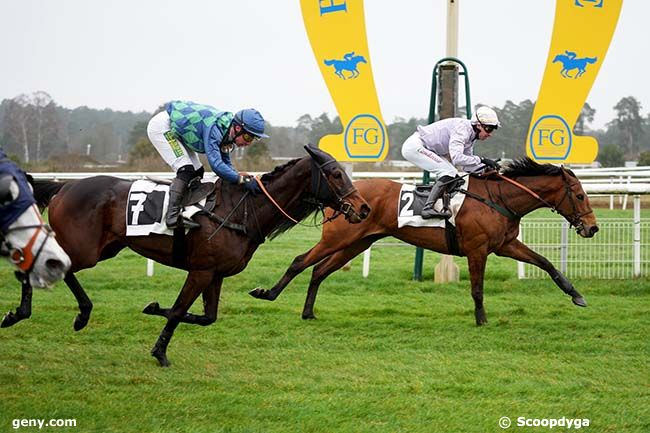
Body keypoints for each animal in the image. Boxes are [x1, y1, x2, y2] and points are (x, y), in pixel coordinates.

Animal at [29, 146, 370, 364]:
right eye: (336, 174)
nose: (364, 208)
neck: (243, 211)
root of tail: (64, 186)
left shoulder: (215, 274)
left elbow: (207, 317)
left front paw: (154, 307)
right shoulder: (201, 270)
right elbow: (180, 311)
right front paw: (160, 353)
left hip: (107, 248)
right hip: (86, 250)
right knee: (48, 266)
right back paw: (71, 314)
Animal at [248, 158, 596, 324]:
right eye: (580, 195)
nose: (592, 228)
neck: (498, 198)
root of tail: (344, 196)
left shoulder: (505, 245)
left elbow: (546, 263)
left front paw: (577, 295)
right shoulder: (478, 249)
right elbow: (477, 288)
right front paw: (482, 319)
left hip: (357, 243)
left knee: (319, 271)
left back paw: (308, 312)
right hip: (339, 239)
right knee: (300, 262)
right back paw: (266, 293)